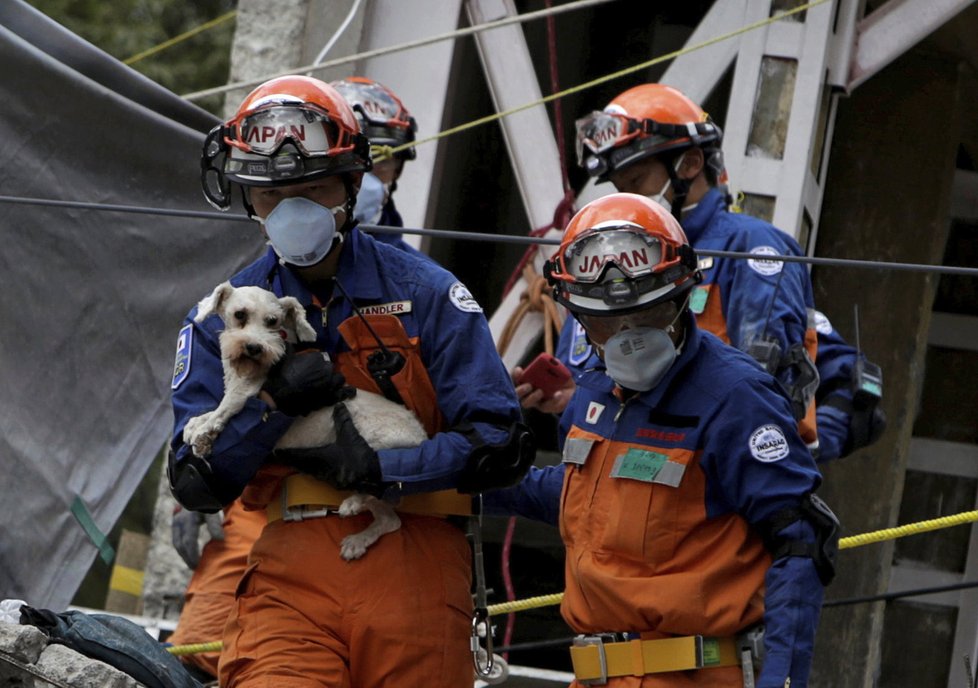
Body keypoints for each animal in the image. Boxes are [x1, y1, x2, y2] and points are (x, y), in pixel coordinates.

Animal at [181, 280, 426, 560]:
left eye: (273, 321)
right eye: (239, 314)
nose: (255, 347)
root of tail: (422, 434)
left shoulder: (246, 392)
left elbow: (224, 408)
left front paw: (205, 434)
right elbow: (210, 412)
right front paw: (195, 425)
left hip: (375, 443)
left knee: (374, 478)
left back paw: (354, 503)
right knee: (390, 519)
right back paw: (358, 540)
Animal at [492, 192, 836, 688]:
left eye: (649, 312)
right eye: (608, 324)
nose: (629, 344)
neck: (637, 395)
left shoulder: (751, 407)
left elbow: (794, 529)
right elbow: (558, 485)